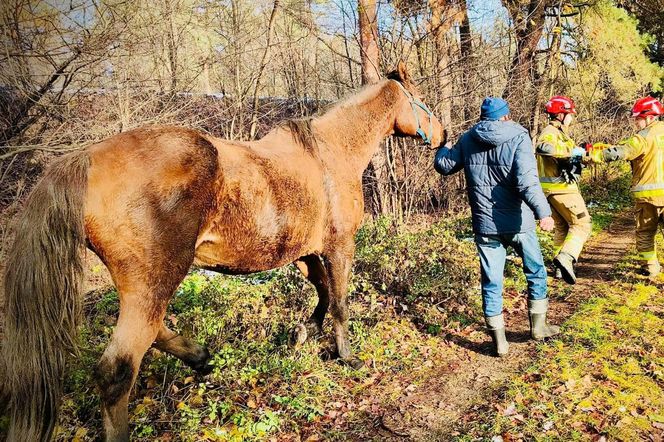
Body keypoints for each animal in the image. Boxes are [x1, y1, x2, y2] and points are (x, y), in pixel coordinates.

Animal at [1, 63, 446, 442]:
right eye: (421, 100)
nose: (443, 135)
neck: (327, 154)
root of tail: (84, 158)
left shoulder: (306, 253)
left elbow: (320, 293)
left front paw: (303, 332)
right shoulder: (339, 247)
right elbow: (338, 301)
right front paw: (346, 356)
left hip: (144, 285)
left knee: (150, 333)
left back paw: (200, 356)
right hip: (156, 280)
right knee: (117, 370)